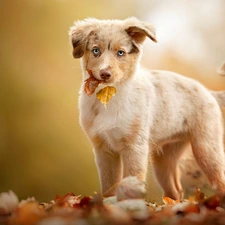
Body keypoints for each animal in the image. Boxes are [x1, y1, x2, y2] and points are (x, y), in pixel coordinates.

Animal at [69, 18, 225, 200]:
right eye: (95, 50)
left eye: (120, 53)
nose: (105, 74)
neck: (109, 97)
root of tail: (209, 92)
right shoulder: (103, 150)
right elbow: (108, 187)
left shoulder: (135, 147)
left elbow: (130, 182)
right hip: (164, 158)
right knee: (175, 191)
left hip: (206, 148)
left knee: (219, 181)